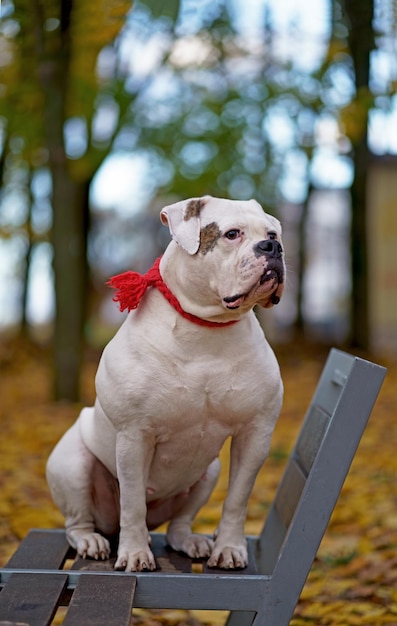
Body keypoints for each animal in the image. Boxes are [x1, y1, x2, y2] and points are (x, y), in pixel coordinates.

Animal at [46, 195, 284, 572]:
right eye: (232, 234)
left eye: (272, 234)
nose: (273, 247)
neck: (206, 330)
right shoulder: (134, 436)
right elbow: (132, 503)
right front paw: (133, 554)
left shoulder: (255, 433)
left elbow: (237, 499)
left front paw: (230, 548)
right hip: (73, 465)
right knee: (79, 522)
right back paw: (93, 540)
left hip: (209, 471)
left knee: (178, 523)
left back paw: (189, 541)